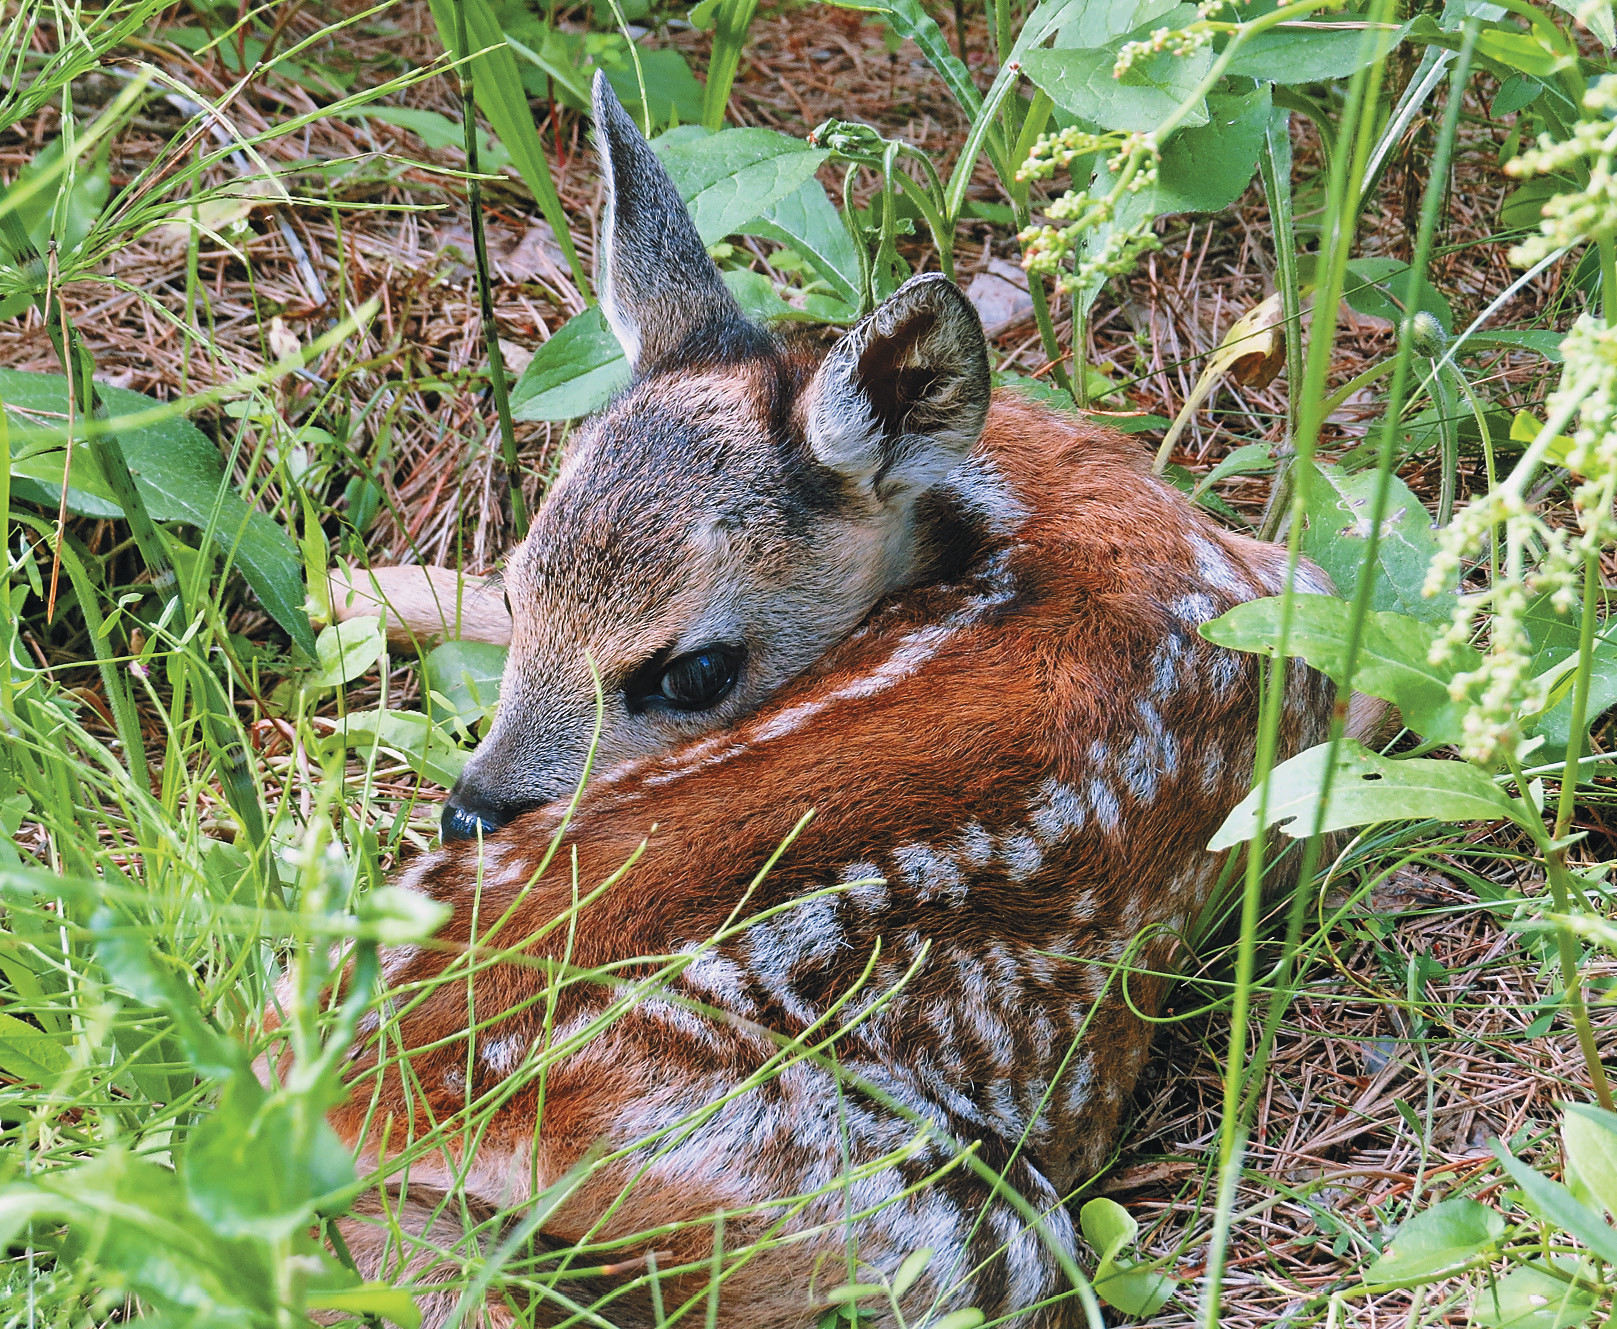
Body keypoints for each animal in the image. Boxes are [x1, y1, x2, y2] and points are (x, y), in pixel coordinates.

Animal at [311, 73, 1345, 1328]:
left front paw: (347, 591)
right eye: (521, 580)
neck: (1028, 500)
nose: (471, 807)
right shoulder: (1290, 624)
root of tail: (368, 1120)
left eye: (695, 671)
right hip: (956, 1222)